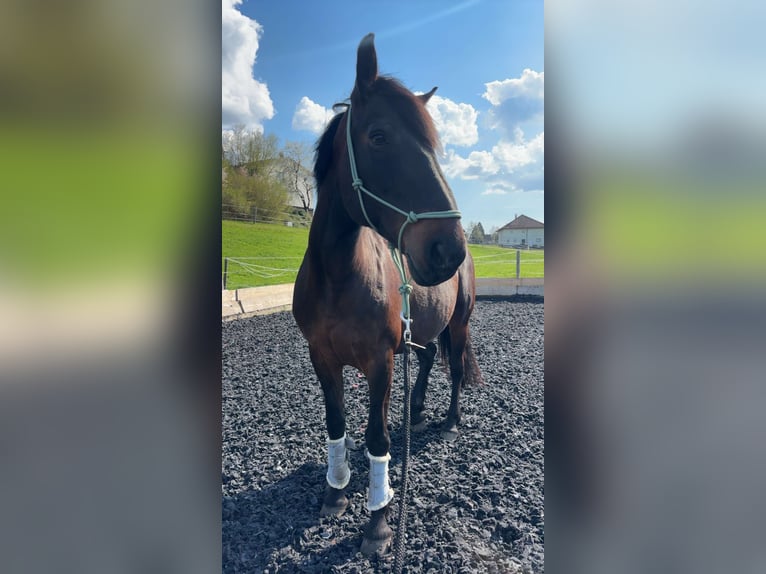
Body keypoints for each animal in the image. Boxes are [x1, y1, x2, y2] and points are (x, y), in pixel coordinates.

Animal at [292, 33, 482, 556]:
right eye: (378, 136)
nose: (448, 249)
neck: (339, 277)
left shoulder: (380, 362)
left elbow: (377, 437)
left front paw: (377, 521)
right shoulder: (322, 356)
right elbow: (336, 423)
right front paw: (335, 494)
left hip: (459, 323)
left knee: (455, 367)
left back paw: (449, 421)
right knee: (428, 358)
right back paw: (415, 412)